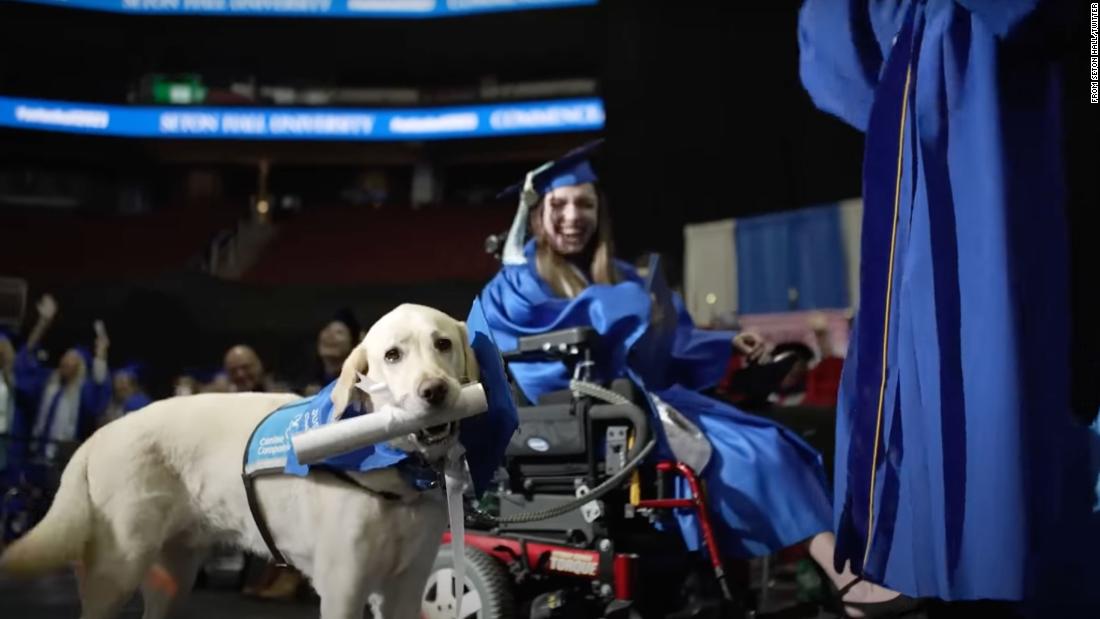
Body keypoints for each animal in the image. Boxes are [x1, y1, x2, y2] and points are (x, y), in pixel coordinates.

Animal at [2, 303, 479, 619]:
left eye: (443, 344)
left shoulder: (405, 590)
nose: (435, 391)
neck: (394, 470)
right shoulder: (343, 588)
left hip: (171, 576)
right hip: (116, 572)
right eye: (392, 355)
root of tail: (99, 434)